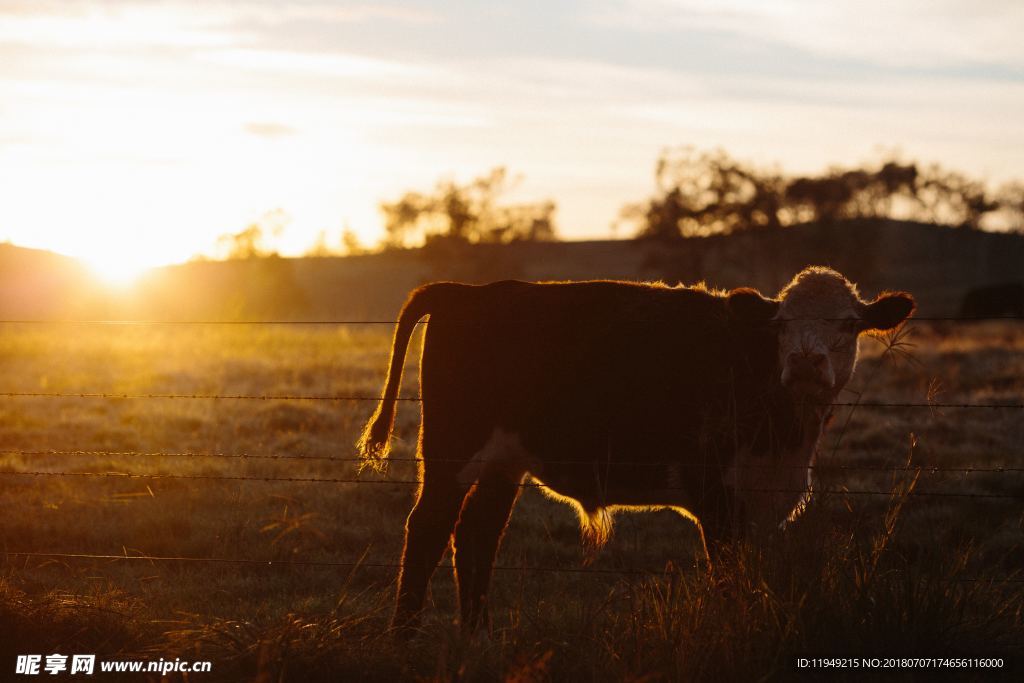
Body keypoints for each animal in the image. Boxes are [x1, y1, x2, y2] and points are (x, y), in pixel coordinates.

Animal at [356, 264, 917, 634]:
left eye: (849, 324)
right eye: (779, 325)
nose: (804, 361)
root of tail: (467, 292)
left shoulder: (763, 500)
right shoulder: (714, 493)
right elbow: (728, 577)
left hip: (503, 460)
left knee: (477, 533)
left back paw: (478, 636)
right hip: (451, 449)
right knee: (428, 529)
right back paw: (405, 637)